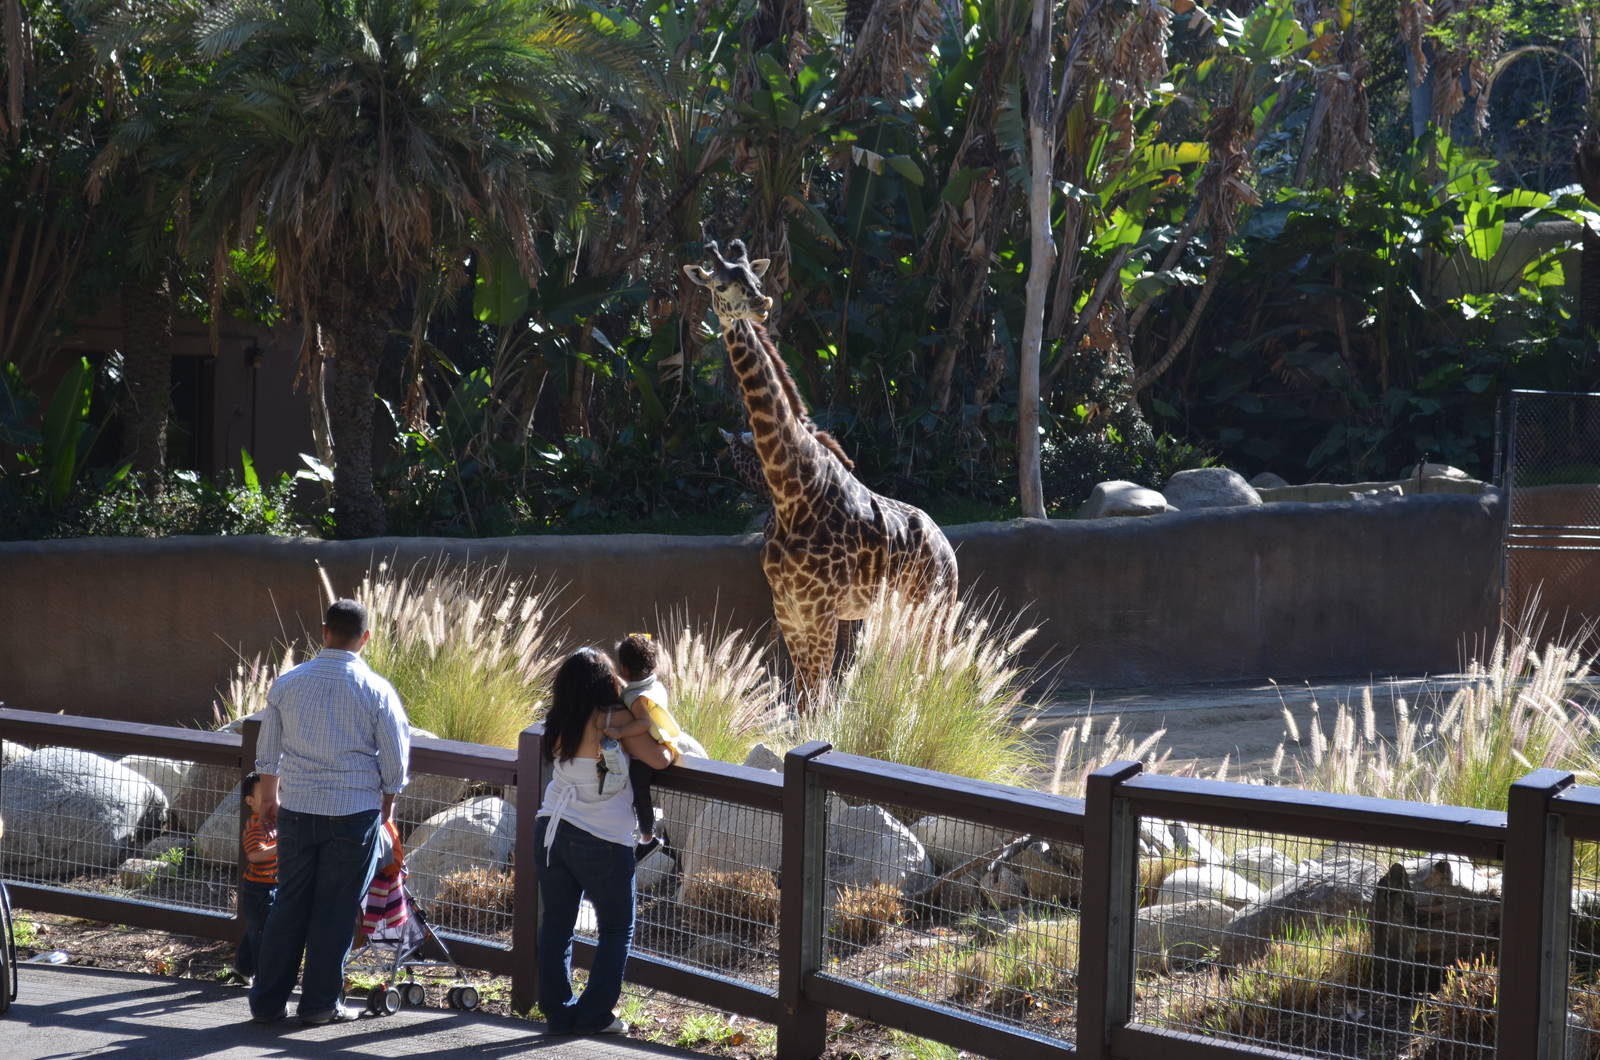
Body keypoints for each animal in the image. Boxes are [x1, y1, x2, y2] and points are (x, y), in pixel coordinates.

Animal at [685, 240, 958, 708]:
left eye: (754, 277)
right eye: (720, 284)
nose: (761, 304)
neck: (791, 489)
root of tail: (949, 549)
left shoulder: (821, 609)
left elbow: (817, 701)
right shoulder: (790, 610)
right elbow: (806, 701)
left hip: (931, 609)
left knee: (935, 676)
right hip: (897, 612)